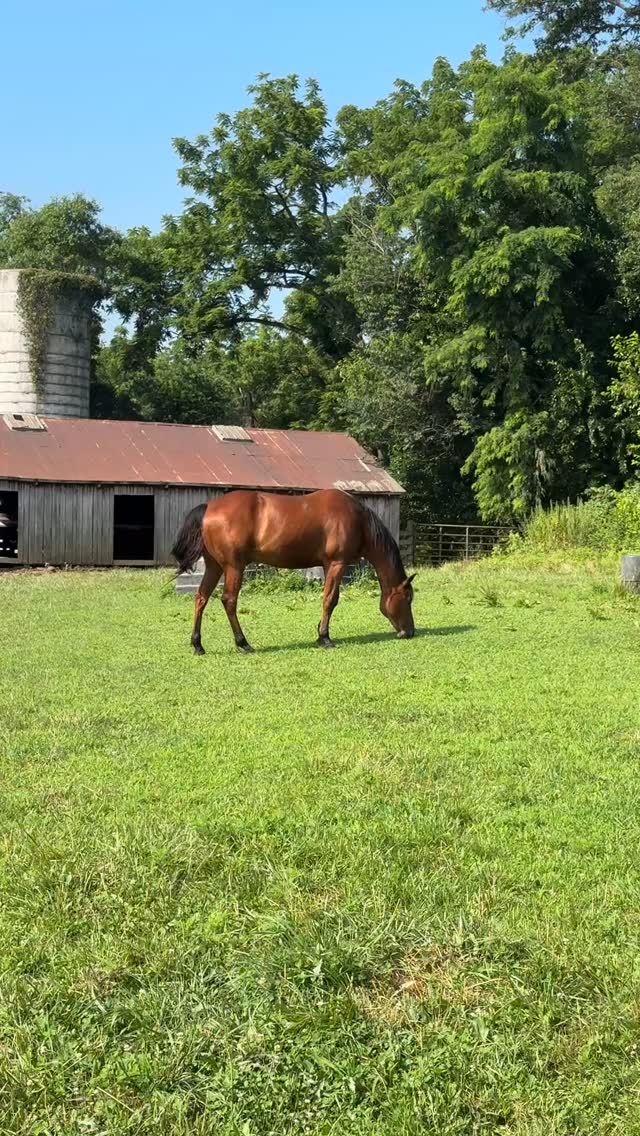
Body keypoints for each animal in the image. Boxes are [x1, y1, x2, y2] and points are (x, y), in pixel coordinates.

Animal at [171, 488, 416, 654]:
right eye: (408, 598)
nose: (410, 632)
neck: (358, 520)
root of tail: (208, 508)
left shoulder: (328, 565)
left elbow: (329, 598)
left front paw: (320, 633)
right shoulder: (337, 563)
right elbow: (330, 600)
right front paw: (325, 638)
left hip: (215, 566)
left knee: (201, 598)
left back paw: (198, 644)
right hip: (233, 567)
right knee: (229, 601)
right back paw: (243, 643)